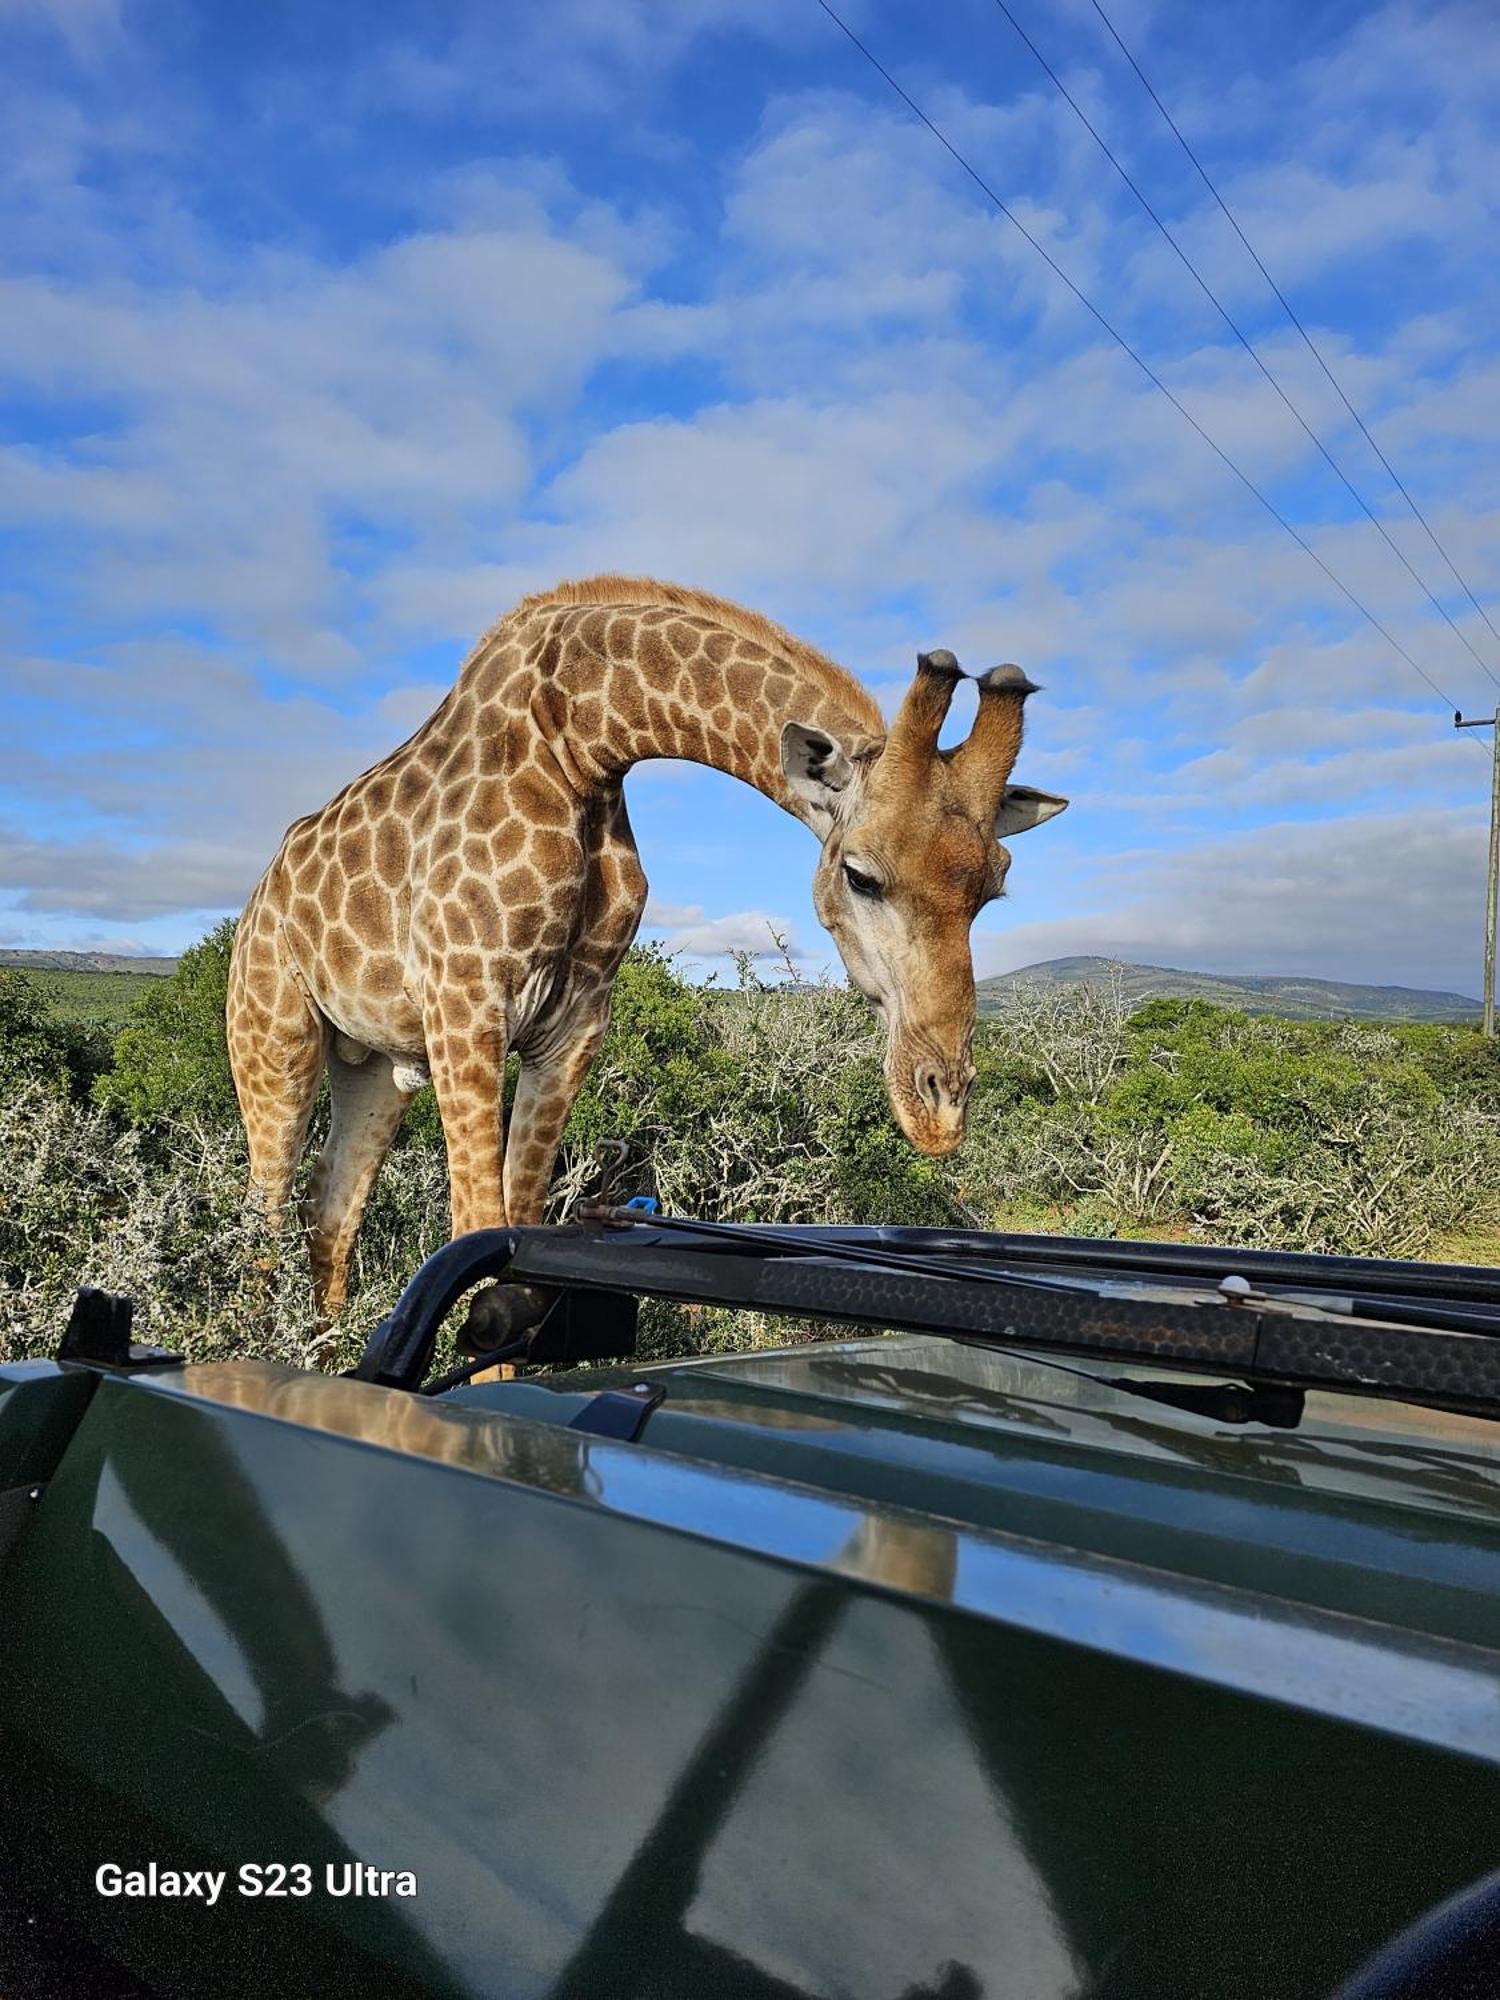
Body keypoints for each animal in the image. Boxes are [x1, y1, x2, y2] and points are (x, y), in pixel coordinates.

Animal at [226, 572, 1072, 1336]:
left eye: (995, 887)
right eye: (860, 875)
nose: (939, 1112)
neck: (580, 745)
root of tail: (258, 901)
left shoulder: (573, 1023)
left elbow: (517, 1219)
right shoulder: (465, 998)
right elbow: (475, 1220)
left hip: (376, 1065)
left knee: (330, 1203)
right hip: (274, 1038)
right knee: (263, 1206)